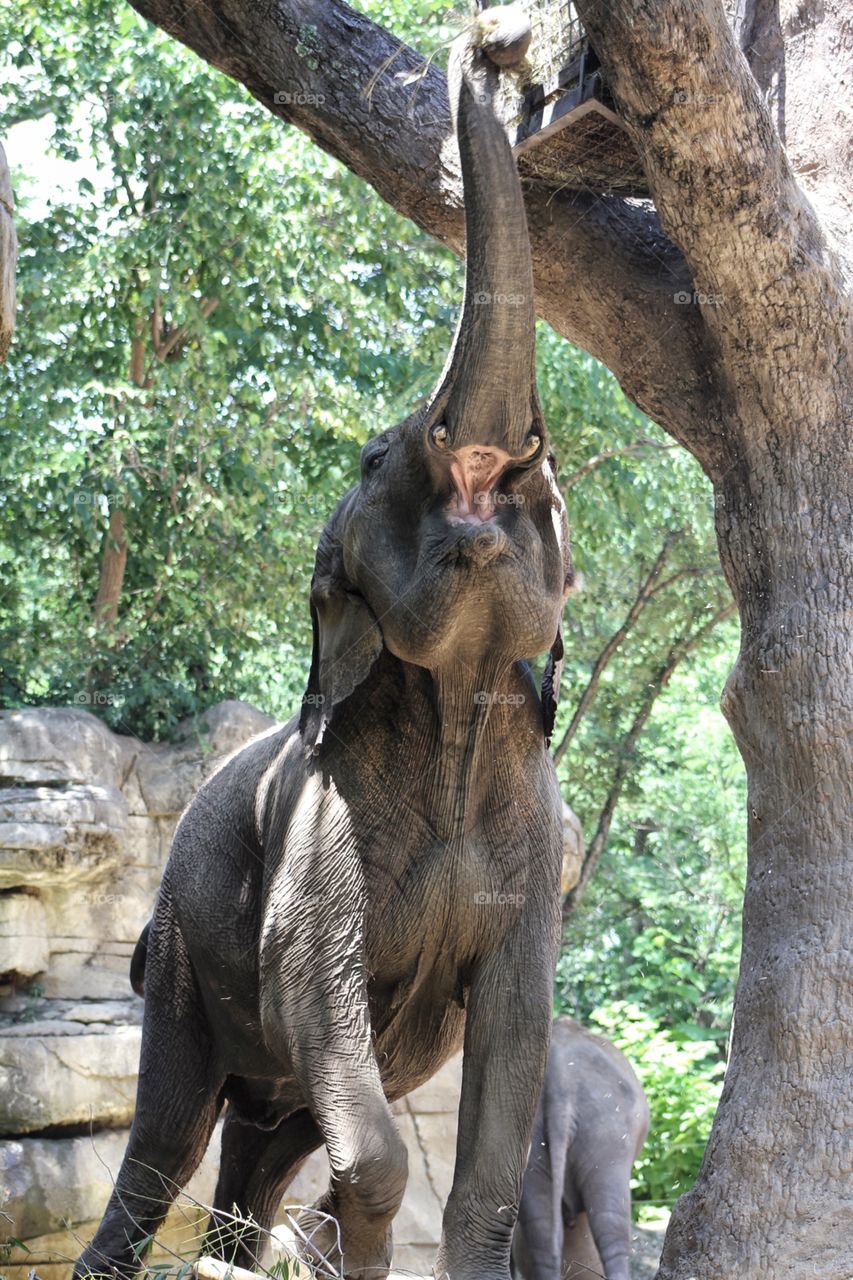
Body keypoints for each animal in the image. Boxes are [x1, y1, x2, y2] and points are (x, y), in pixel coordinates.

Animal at [75, 7, 573, 1280]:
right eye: (370, 456)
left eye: (543, 475)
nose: (495, 42)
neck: (453, 712)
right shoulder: (317, 837)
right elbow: (324, 1002)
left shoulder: (531, 852)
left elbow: (506, 1075)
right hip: (183, 950)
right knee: (163, 1143)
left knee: (263, 1147)